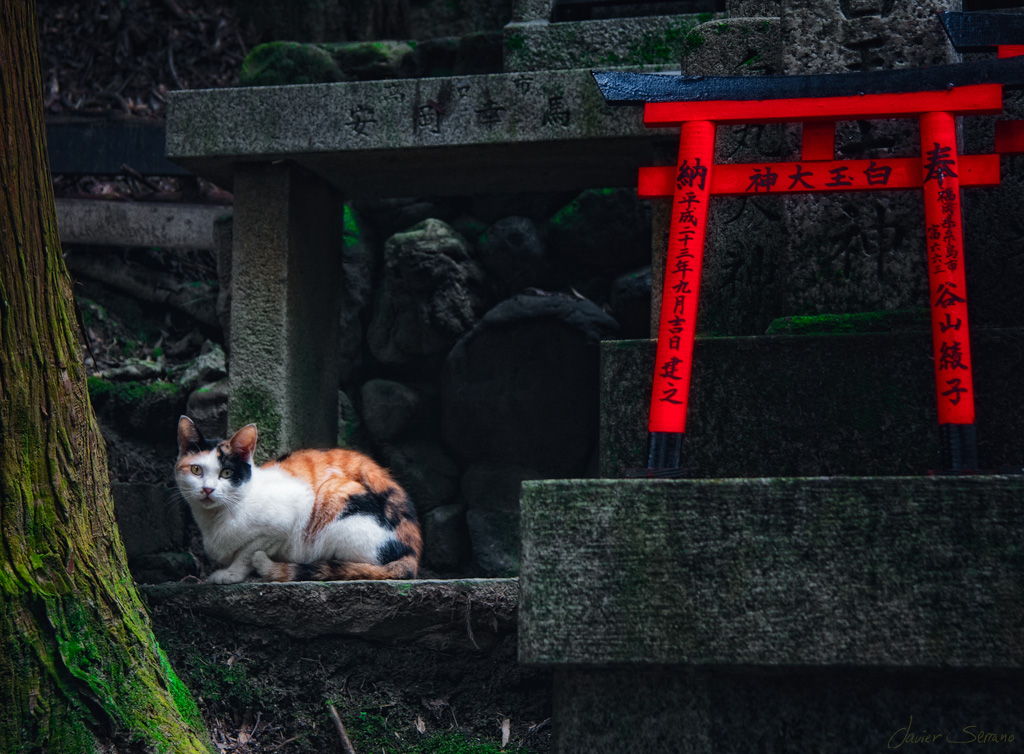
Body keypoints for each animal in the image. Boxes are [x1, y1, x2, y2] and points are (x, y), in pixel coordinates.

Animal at [174, 415, 421, 584]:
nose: (207, 489)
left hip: (339, 513)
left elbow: (248, 553)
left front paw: (232, 573)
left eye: (226, 473)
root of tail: (412, 555)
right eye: (196, 470)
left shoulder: (281, 525)